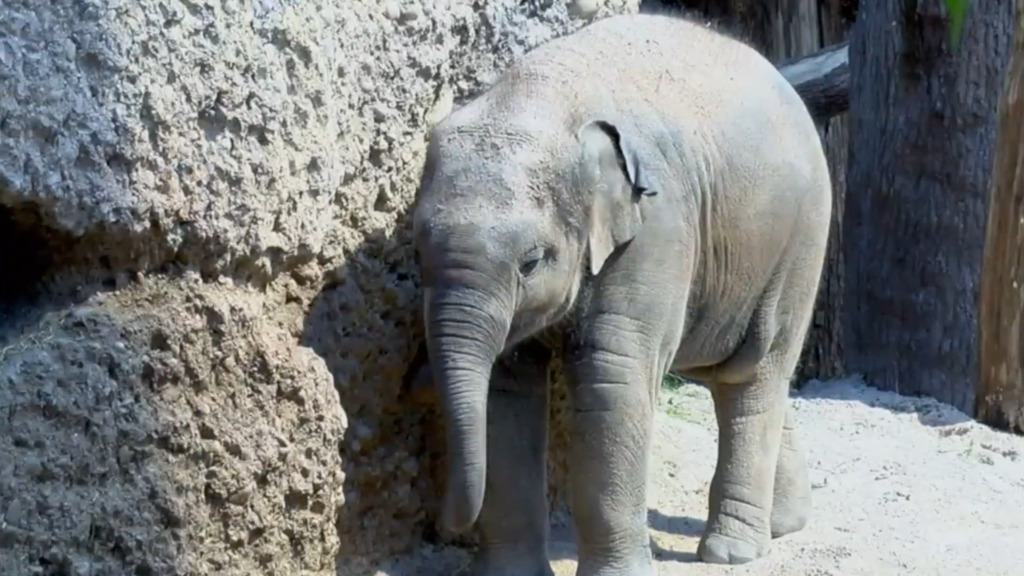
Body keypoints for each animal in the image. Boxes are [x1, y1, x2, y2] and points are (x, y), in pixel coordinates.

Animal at [411, 13, 832, 576]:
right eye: (416, 249)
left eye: (531, 261)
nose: (444, 525)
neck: (540, 97)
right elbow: (504, 388)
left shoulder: (656, 228)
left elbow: (611, 379)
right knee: (728, 369)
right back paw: (784, 524)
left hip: (800, 240)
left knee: (753, 371)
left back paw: (732, 551)